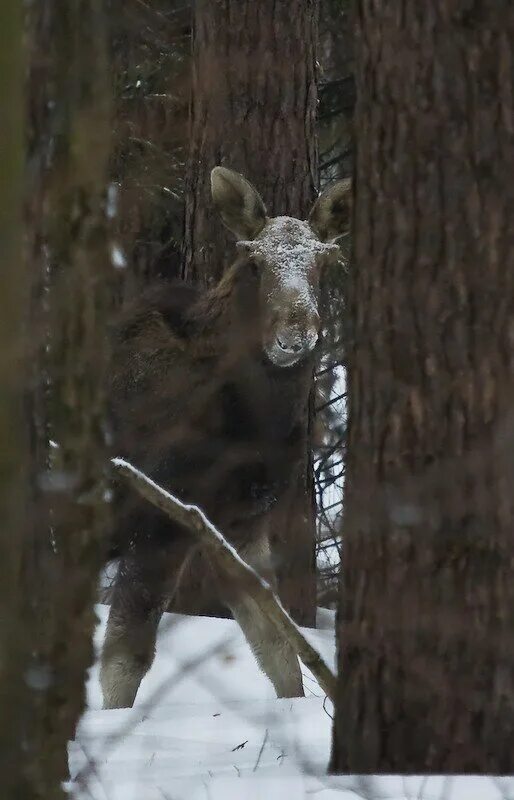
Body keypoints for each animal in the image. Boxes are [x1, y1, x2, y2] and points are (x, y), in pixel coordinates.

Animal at [101, 167, 348, 708]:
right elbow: (124, 664)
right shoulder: (155, 521)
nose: (294, 333)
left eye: (324, 260)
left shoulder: (241, 522)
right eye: (254, 261)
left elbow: (278, 651)